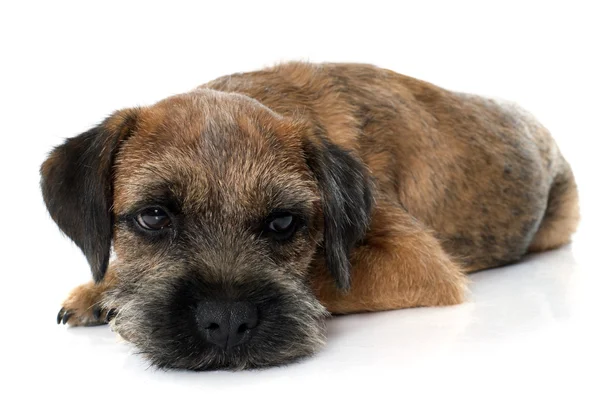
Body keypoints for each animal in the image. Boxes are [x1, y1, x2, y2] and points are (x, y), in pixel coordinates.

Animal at [39, 61, 580, 370]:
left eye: (283, 223)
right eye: (153, 217)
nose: (226, 321)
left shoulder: (418, 260)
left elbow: (324, 274)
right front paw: (103, 289)